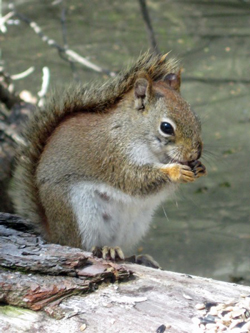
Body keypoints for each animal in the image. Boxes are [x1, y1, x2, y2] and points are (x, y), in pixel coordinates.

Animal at [11, 52, 205, 260]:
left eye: (196, 118)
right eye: (166, 127)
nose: (194, 153)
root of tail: (54, 234)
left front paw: (199, 167)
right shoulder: (112, 156)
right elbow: (134, 180)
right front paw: (175, 171)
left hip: (135, 225)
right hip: (81, 215)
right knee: (79, 245)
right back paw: (103, 249)